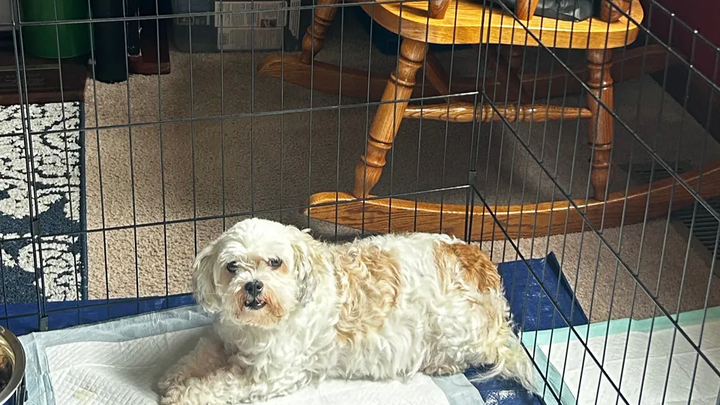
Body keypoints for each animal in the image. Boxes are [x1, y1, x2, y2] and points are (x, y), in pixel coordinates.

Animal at [158, 218, 535, 404]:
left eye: (275, 262)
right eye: (232, 267)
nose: (253, 286)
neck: (255, 327)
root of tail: (483, 267)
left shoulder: (267, 375)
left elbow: (219, 384)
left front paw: (183, 394)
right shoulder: (224, 336)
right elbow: (200, 352)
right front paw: (174, 375)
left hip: (453, 329)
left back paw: (439, 364)